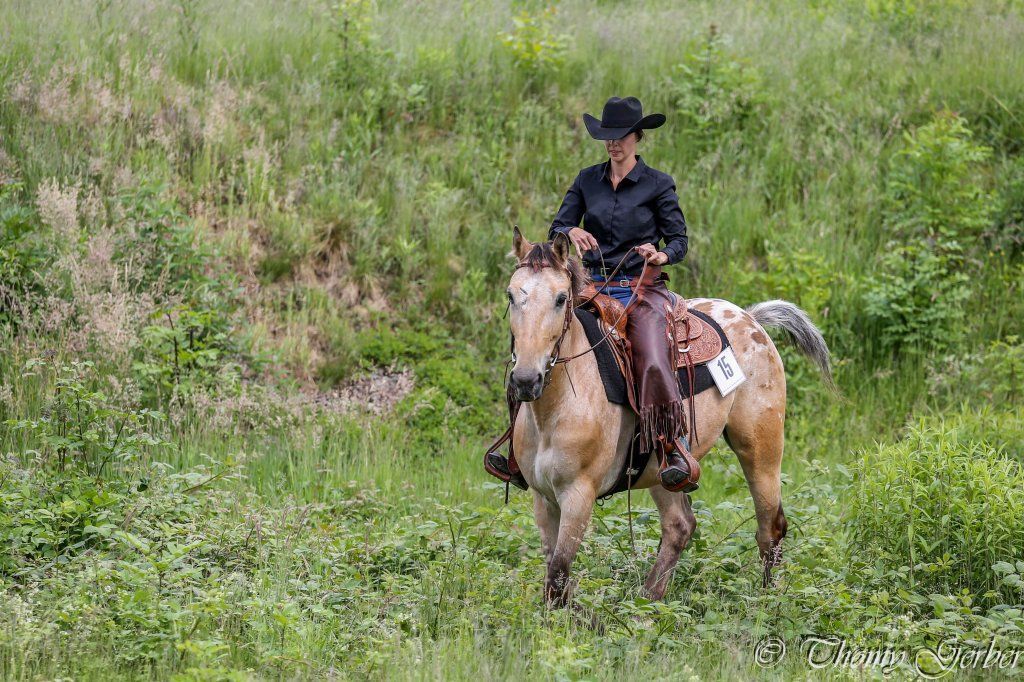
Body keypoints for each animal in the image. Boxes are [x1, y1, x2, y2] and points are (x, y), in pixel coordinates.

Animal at [505, 228, 837, 606]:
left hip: (760, 448)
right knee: (679, 525)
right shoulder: (543, 498)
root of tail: (750, 319)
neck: (558, 407)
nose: (526, 380)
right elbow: (552, 576)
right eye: (511, 296)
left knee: (770, 527)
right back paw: (648, 601)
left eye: (561, 299)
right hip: (663, 469)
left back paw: (767, 604)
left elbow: (559, 574)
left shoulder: (578, 496)